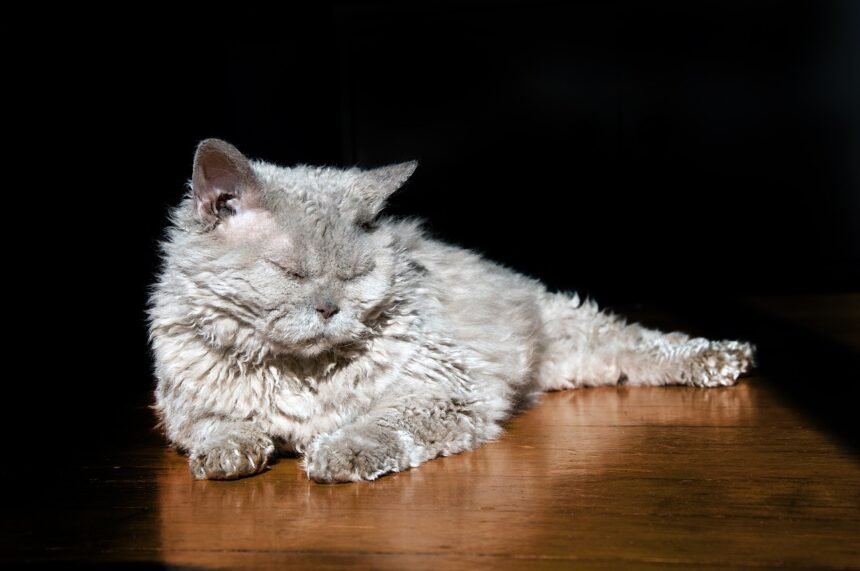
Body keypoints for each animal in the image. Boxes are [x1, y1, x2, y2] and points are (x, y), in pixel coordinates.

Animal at [151, 140, 756, 482]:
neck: (299, 371)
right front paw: (231, 456)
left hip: (574, 329)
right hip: (573, 363)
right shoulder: (185, 406)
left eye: (355, 275)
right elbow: (219, 427)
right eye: (290, 272)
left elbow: (379, 424)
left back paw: (724, 358)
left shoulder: (442, 388)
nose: (329, 309)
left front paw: (339, 453)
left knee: (642, 340)